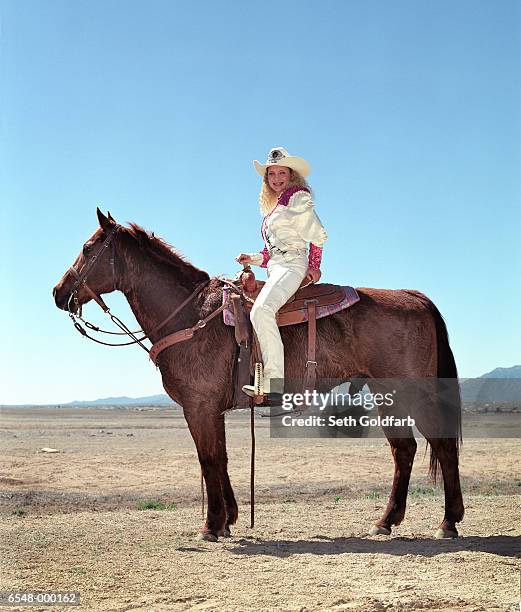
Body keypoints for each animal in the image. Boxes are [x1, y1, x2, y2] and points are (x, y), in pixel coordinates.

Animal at [53, 209, 464, 540]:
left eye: (88, 248)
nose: (58, 293)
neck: (190, 316)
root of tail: (414, 297)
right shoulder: (212, 410)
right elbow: (220, 458)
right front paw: (228, 519)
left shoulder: (198, 407)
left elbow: (208, 459)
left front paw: (211, 525)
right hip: (384, 393)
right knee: (404, 450)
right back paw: (386, 521)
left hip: (412, 393)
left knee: (441, 445)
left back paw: (448, 522)